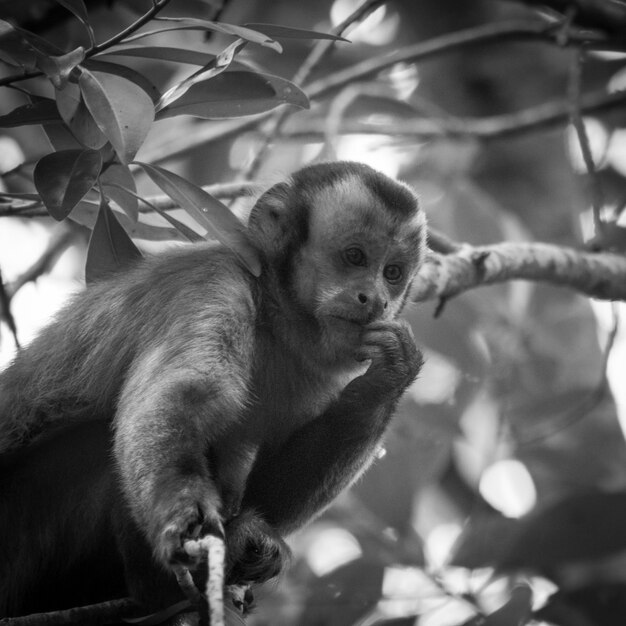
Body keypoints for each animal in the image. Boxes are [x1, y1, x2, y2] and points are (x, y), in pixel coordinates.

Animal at [0, 161, 424, 616]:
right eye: (355, 256)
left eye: (393, 273)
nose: (376, 299)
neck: (272, 308)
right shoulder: (213, 283)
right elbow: (181, 398)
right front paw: (186, 518)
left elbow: (263, 490)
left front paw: (392, 372)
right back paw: (160, 589)